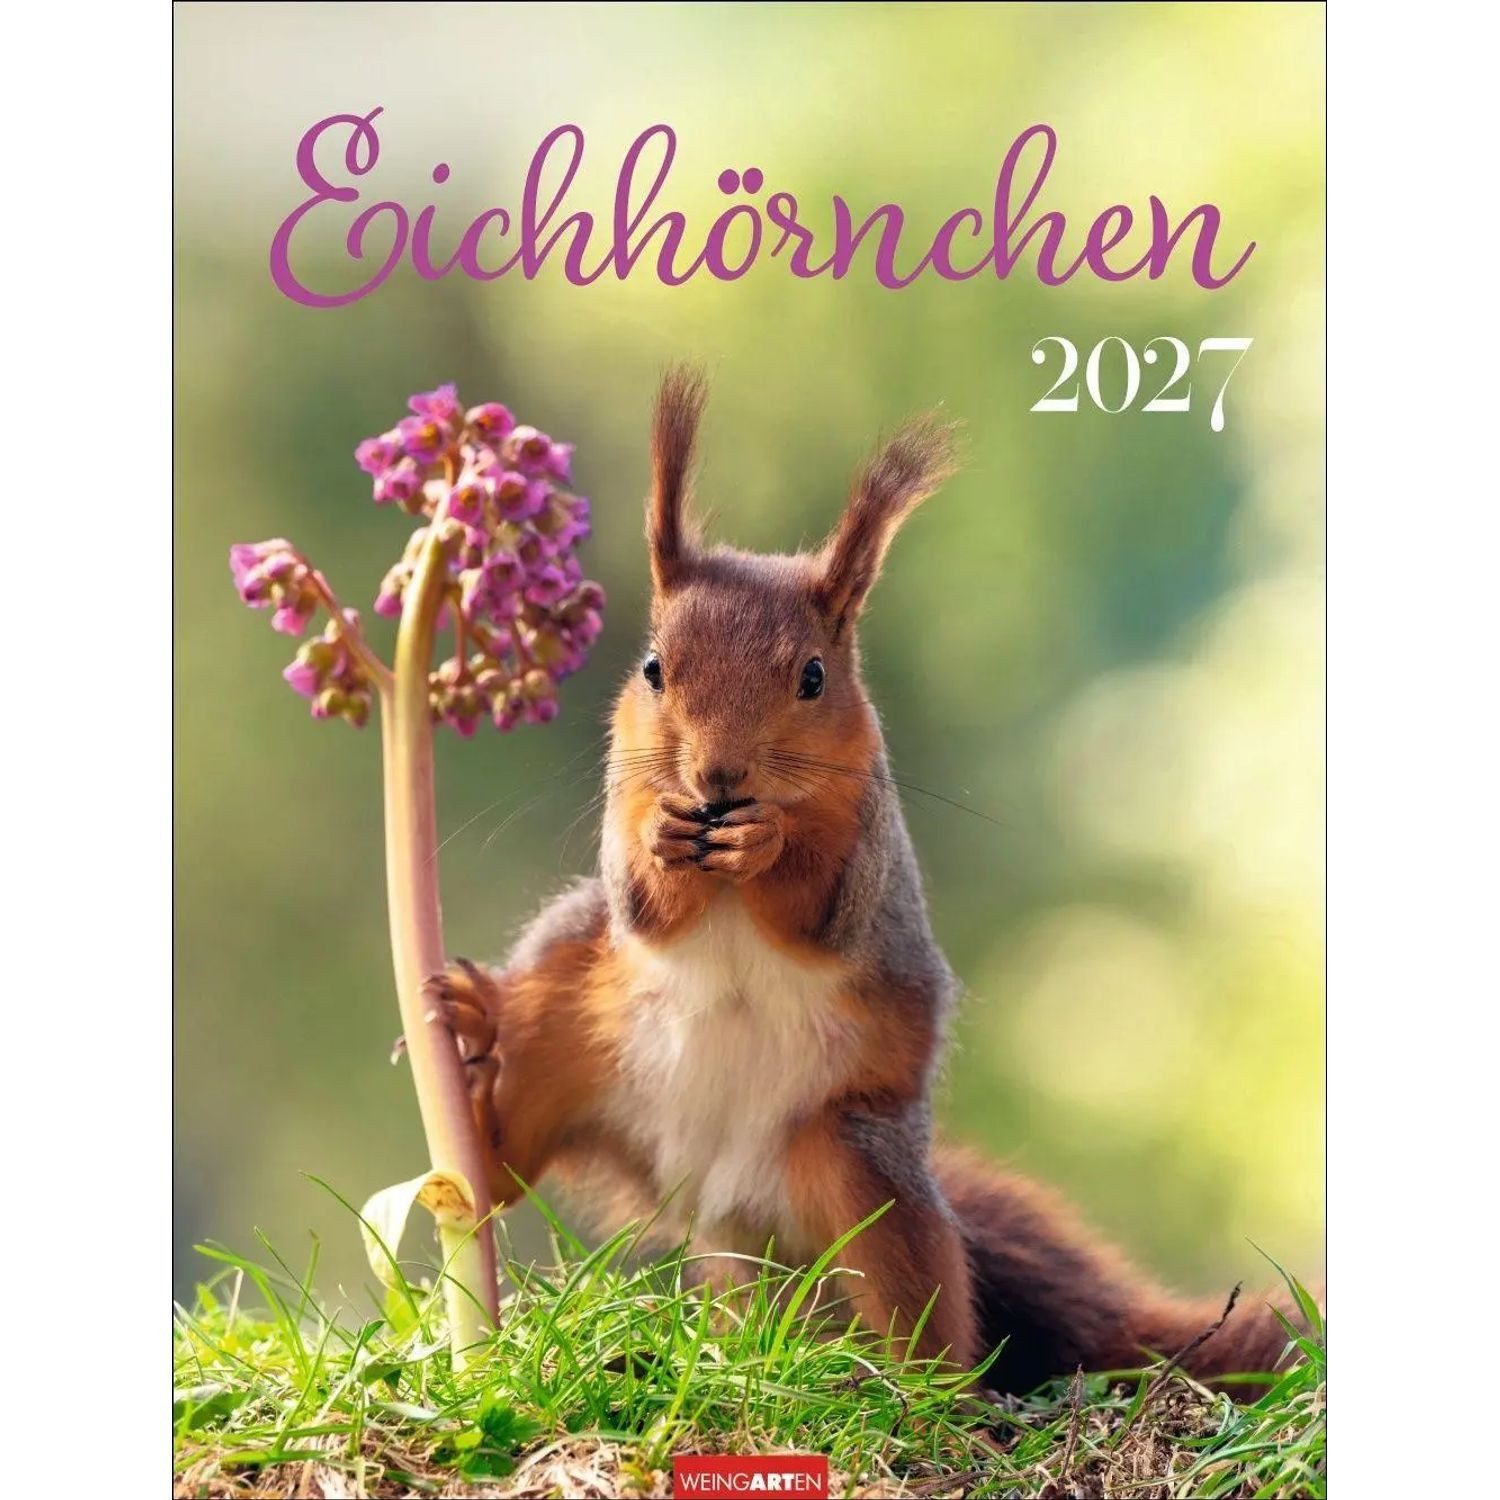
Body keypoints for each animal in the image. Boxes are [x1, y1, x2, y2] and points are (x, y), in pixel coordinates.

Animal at [424, 367, 1303, 1392]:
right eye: (653, 669)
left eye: (812, 676)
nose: (718, 781)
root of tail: (720, 1193)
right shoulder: (622, 806)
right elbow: (642, 901)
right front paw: (667, 840)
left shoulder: (869, 850)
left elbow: (819, 904)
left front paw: (765, 842)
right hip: (566, 1033)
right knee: (509, 1164)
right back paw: (472, 1060)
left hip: (859, 1166)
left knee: (922, 1301)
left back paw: (913, 1390)